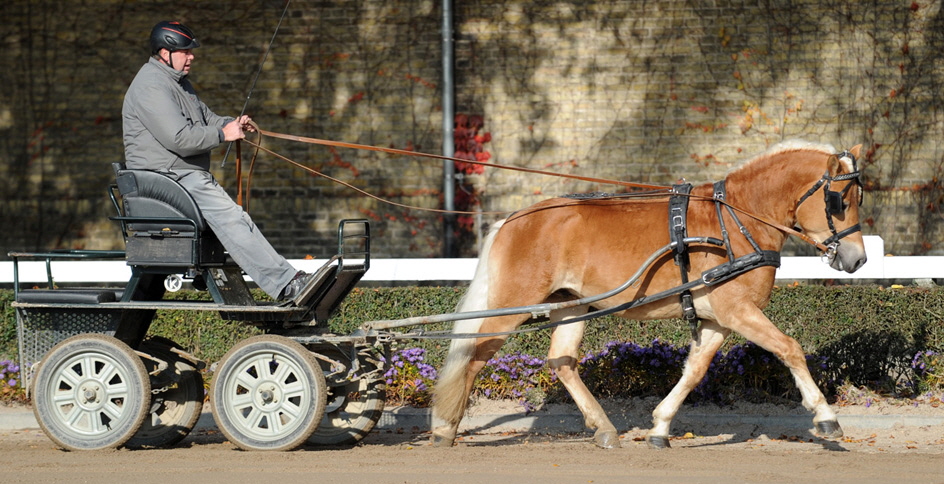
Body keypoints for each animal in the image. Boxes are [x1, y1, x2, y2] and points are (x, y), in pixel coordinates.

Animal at [432, 140, 868, 450]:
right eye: (840, 201)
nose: (858, 258)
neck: (737, 219)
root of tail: (513, 219)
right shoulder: (737, 311)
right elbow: (789, 348)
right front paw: (825, 416)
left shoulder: (719, 320)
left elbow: (694, 371)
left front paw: (660, 426)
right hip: (511, 306)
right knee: (474, 357)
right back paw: (445, 428)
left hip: (568, 306)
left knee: (562, 361)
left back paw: (604, 428)